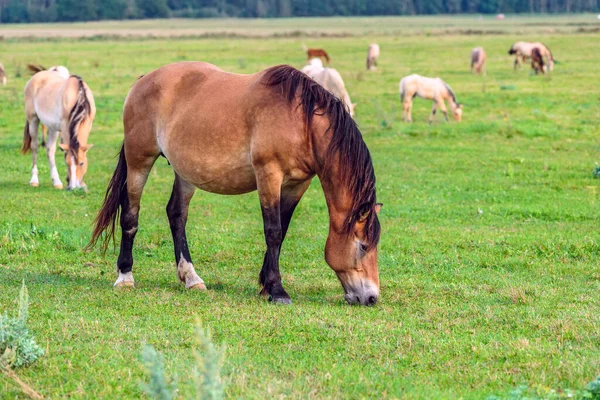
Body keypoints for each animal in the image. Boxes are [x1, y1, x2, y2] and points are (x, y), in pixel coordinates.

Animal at [87, 62, 382, 306]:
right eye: (363, 246)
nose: (371, 297)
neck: (302, 123)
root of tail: (143, 80)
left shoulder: (297, 184)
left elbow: (283, 230)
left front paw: (265, 285)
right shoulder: (269, 176)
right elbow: (273, 231)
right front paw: (277, 290)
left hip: (185, 171)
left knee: (176, 215)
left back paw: (191, 278)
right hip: (139, 161)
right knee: (130, 214)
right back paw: (125, 276)